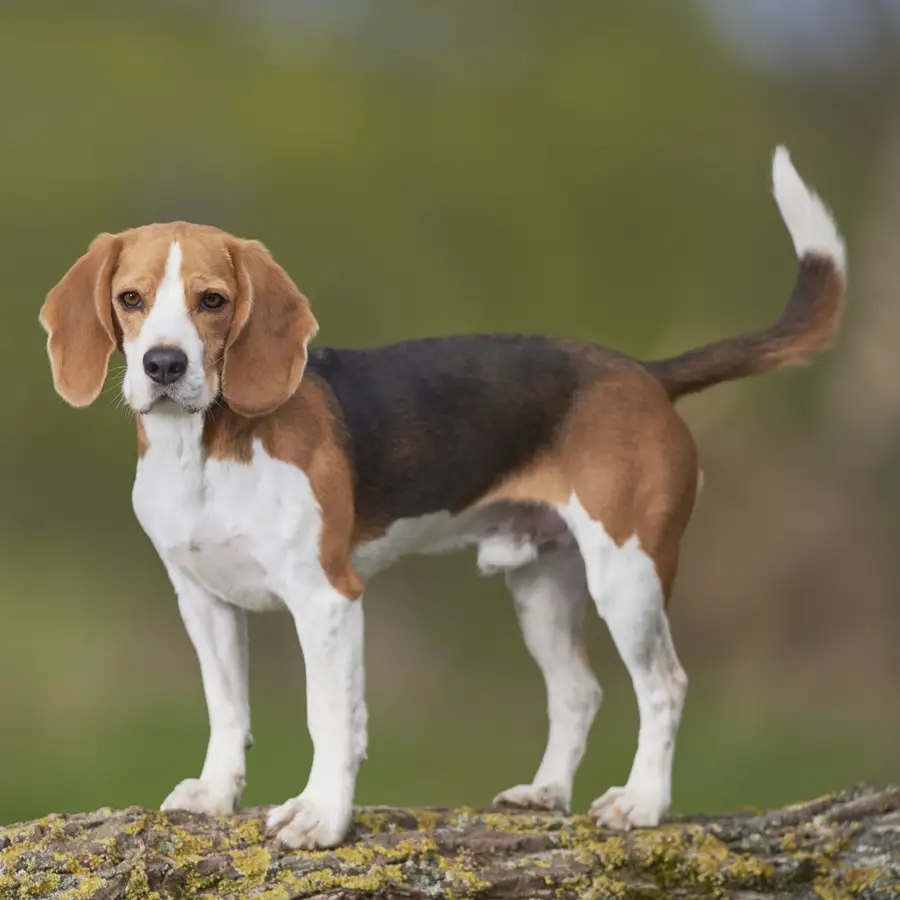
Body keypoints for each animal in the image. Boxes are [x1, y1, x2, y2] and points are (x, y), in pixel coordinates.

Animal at [40, 144, 844, 848]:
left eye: (212, 301)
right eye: (131, 299)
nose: (163, 364)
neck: (206, 451)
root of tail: (644, 373)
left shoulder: (327, 600)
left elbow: (330, 718)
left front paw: (321, 817)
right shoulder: (202, 600)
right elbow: (226, 707)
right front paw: (215, 793)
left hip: (630, 575)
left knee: (665, 685)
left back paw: (642, 802)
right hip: (541, 587)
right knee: (579, 691)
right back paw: (546, 793)